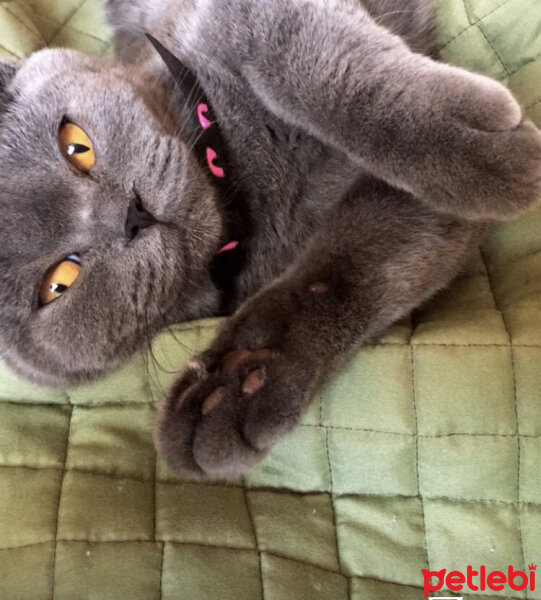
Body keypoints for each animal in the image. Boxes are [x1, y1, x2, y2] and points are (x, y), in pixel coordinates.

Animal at [0, 1, 536, 478]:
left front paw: (482, 151)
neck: (244, 189)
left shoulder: (239, 15)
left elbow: (307, 62)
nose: (131, 214)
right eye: (59, 282)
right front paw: (236, 386)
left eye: (77, 145)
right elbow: (346, 270)